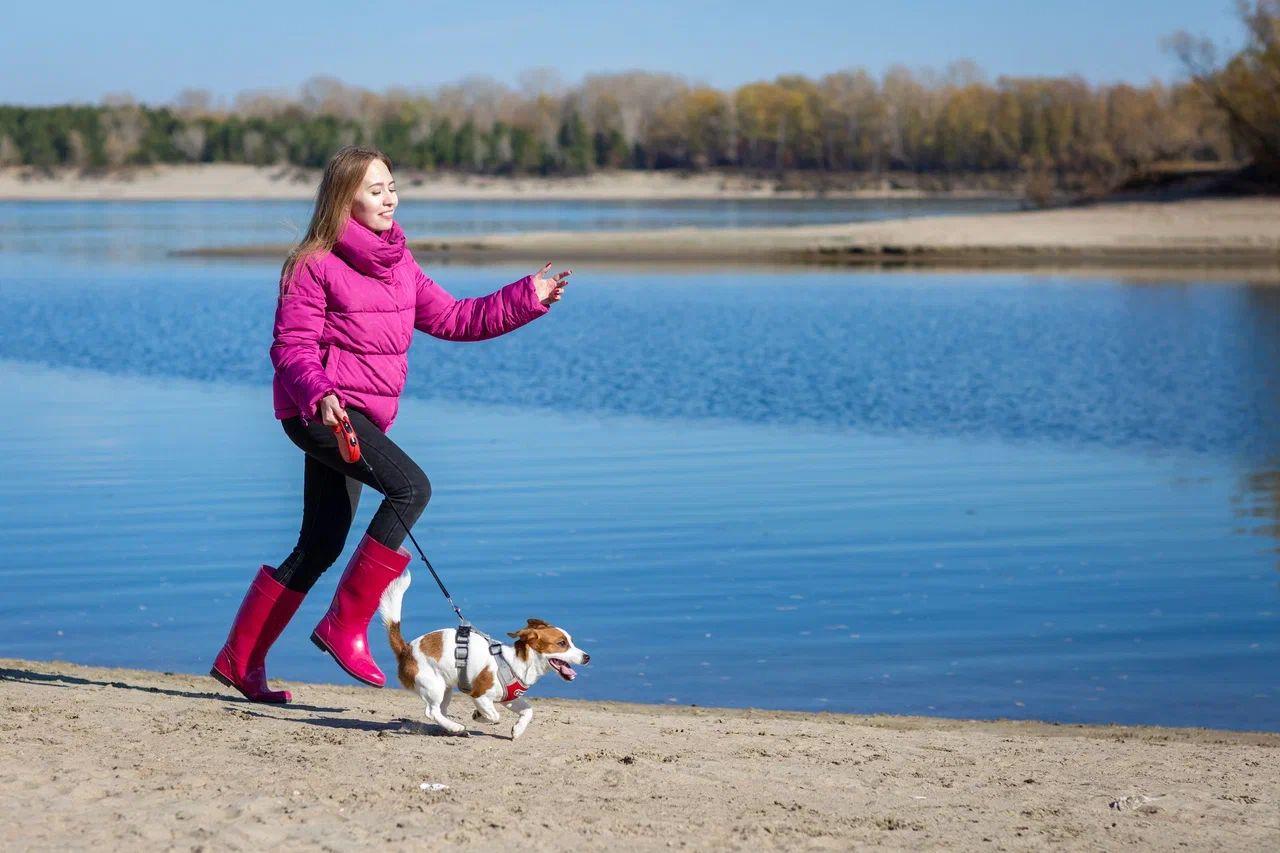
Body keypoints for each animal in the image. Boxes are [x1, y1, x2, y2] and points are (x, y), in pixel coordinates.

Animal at [373, 571, 586, 737]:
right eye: (562, 643)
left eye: (571, 641)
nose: (587, 657)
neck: (517, 663)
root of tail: (406, 649)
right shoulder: (480, 695)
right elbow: (494, 715)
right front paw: (479, 716)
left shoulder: (509, 699)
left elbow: (528, 710)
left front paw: (517, 730)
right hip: (433, 686)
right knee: (431, 711)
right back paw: (456, 726)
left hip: (446, 688)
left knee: (439, 711)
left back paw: (451, 728)